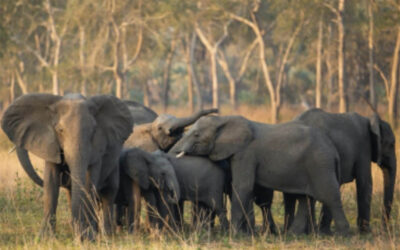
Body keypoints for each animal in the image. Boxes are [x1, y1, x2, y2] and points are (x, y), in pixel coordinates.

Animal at [0, 93, 134, 239]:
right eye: (60, 130)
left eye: (93, 131)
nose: (80, 235)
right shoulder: (51, 143)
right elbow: (51, 181)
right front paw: (46, 237)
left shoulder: (97, 148)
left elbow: (89, 182)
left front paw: (87, 236)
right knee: (73, 192)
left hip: (114, 164)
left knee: (108, 193)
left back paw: (106, 235)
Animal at [170, 116, 348, 235]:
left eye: (196, 135)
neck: (224, 119)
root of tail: (333, 150)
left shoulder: (246, 153)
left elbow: (242, 186)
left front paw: (234, 234)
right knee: (305, 198)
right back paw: (293, 234)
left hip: (320, 165)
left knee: (330, 196)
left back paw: (342, 235)